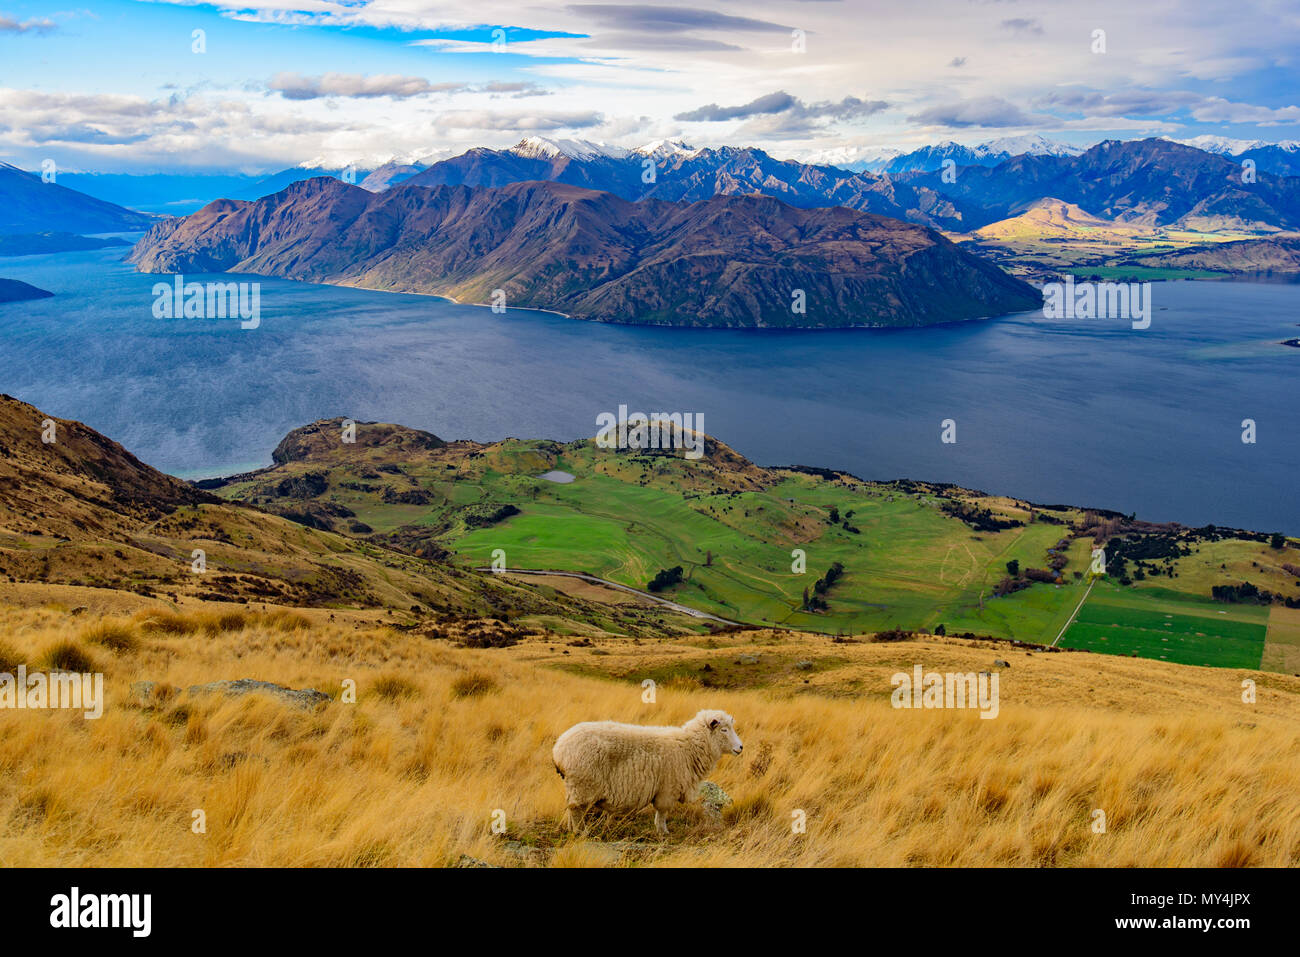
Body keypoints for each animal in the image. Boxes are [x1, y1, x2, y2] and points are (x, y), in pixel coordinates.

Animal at [552, 709, 743, 835]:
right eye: (724, 730)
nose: (740, 747)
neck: (688, 747)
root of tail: (558, 749)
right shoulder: (667, 789)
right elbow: (662, 812)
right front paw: (663, 832)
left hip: (576, 786)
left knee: (571, 809)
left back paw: (571, 829)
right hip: (583, 784)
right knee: (576, 810)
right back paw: (581, 832)